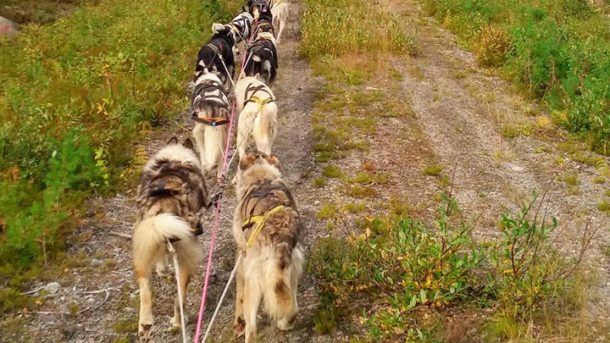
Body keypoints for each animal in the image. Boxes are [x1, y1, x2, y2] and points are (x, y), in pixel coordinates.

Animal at [132, 137, 208, 342]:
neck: (175, 159)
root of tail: (163, 207)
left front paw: (162, 269)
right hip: (185, 263)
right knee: (179, 299)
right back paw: (179, 321)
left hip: (143, 254)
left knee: (145, 290)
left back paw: (145, 324)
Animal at [232, 154, 302, 343]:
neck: (261, 179)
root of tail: (280, 241)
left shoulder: (242, 261)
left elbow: (238, 294)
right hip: (291, 274)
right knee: (293, 309)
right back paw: (284, 323)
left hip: (254, 284)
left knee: (252, 329)